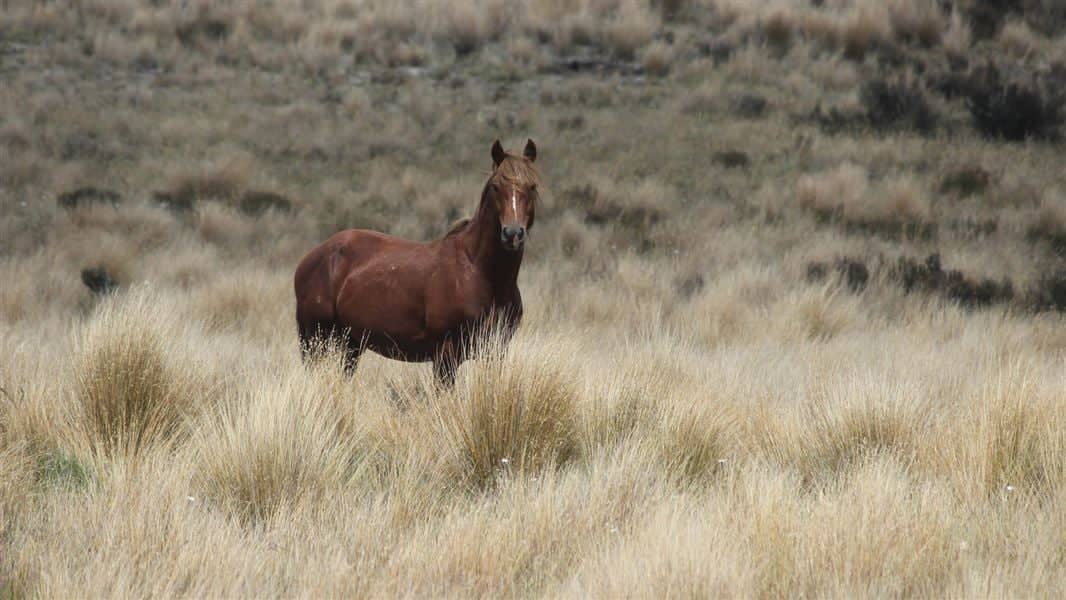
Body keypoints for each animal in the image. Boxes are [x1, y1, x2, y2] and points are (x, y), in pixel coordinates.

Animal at [293, 139, 539, 387]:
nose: (512, 234)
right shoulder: (446, 355)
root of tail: (311, 258)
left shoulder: (495, 353)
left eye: (532, 186)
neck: (477, 271)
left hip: (351, 343)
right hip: (315, 340)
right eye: (496, 186)